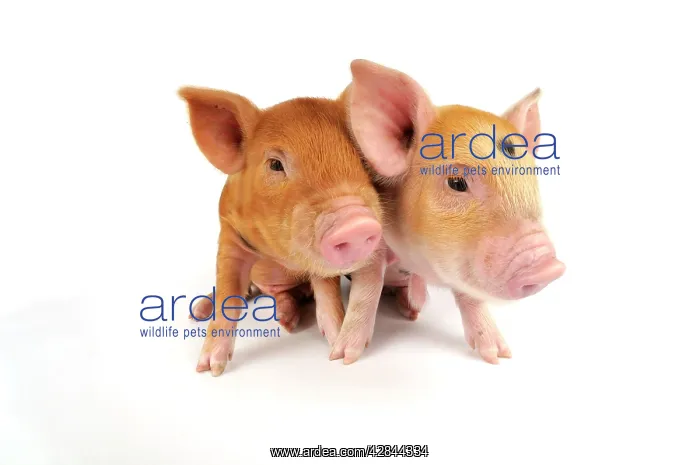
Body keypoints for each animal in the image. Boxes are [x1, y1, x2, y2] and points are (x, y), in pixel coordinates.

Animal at [178, 86, 390, 376]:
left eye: (359, 158)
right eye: (275, 164)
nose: (356, 222)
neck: (279, 257)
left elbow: (327, 295)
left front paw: (336, 349)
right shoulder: (229, 235)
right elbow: (227, 294)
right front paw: (209, 369)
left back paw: (287, 319)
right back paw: (198, 311)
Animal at [339, 59, 566, 364]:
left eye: (530, 178)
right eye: (456, 182)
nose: (548, 267)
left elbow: (470, 296)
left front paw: (499, 355)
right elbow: (368, 284)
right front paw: (343, 357)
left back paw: (412, 310)